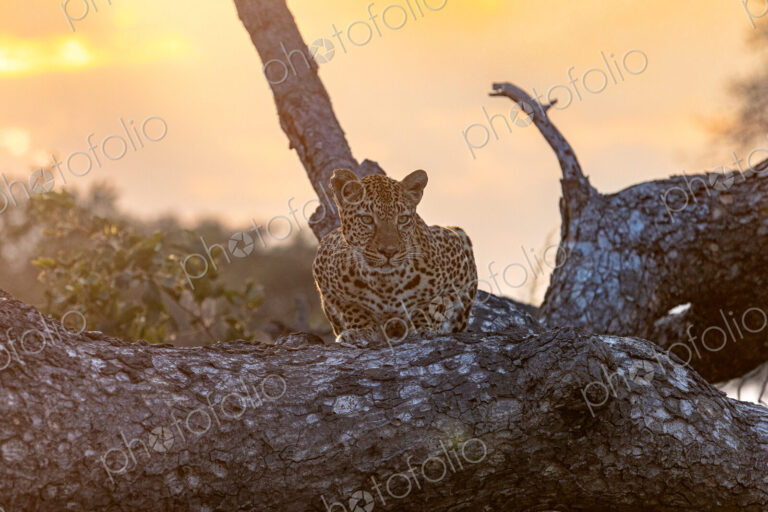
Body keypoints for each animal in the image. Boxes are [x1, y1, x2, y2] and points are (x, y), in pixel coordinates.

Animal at [312, 168, 477, 348]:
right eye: (367, 219)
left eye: (403, 219)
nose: (389, 251)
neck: (386, 284)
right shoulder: (324, 276)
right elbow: (352, 308)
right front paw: (359, 331)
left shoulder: (458, 263)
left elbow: (432, 304)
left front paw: (421, 327)